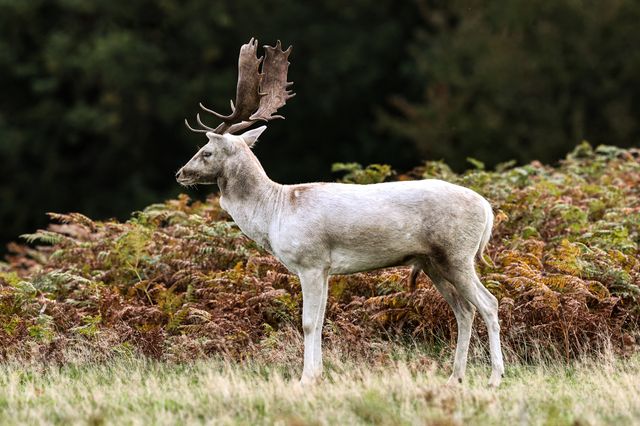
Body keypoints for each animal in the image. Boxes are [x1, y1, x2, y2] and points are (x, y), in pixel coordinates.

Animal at [176, 38, 505, 387]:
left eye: (206, 151)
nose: (180, 173)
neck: (275, 211)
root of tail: (486, 209)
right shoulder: (325, 269)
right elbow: (321, 320)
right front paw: (318, 374)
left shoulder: (310, 260)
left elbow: (308, 322)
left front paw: (305, 379)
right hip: (431, 261)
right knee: (464, 310)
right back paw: (454, 377)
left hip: (457, 252)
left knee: (489, 303)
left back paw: (495, 377)